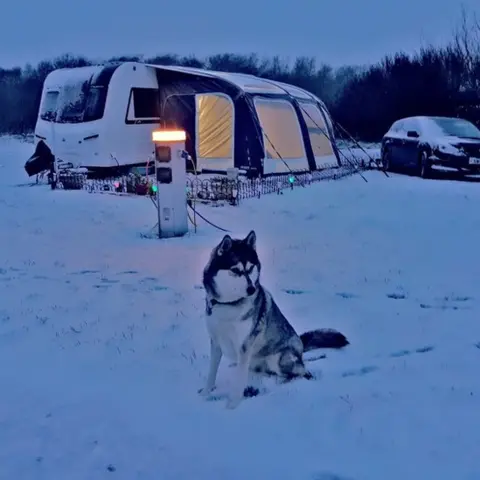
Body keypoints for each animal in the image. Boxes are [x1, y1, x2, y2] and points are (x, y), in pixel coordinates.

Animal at [199, 232, 348, 408]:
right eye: (235, 270)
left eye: (250, 269)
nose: (251, 289)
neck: (229, 304)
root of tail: (301, 346)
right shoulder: (216, 341)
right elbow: (211, 372)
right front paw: (205, 393)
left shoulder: (244, 346)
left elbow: (239, 379)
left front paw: (233, 404)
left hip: (278, 359)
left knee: (302, 372)